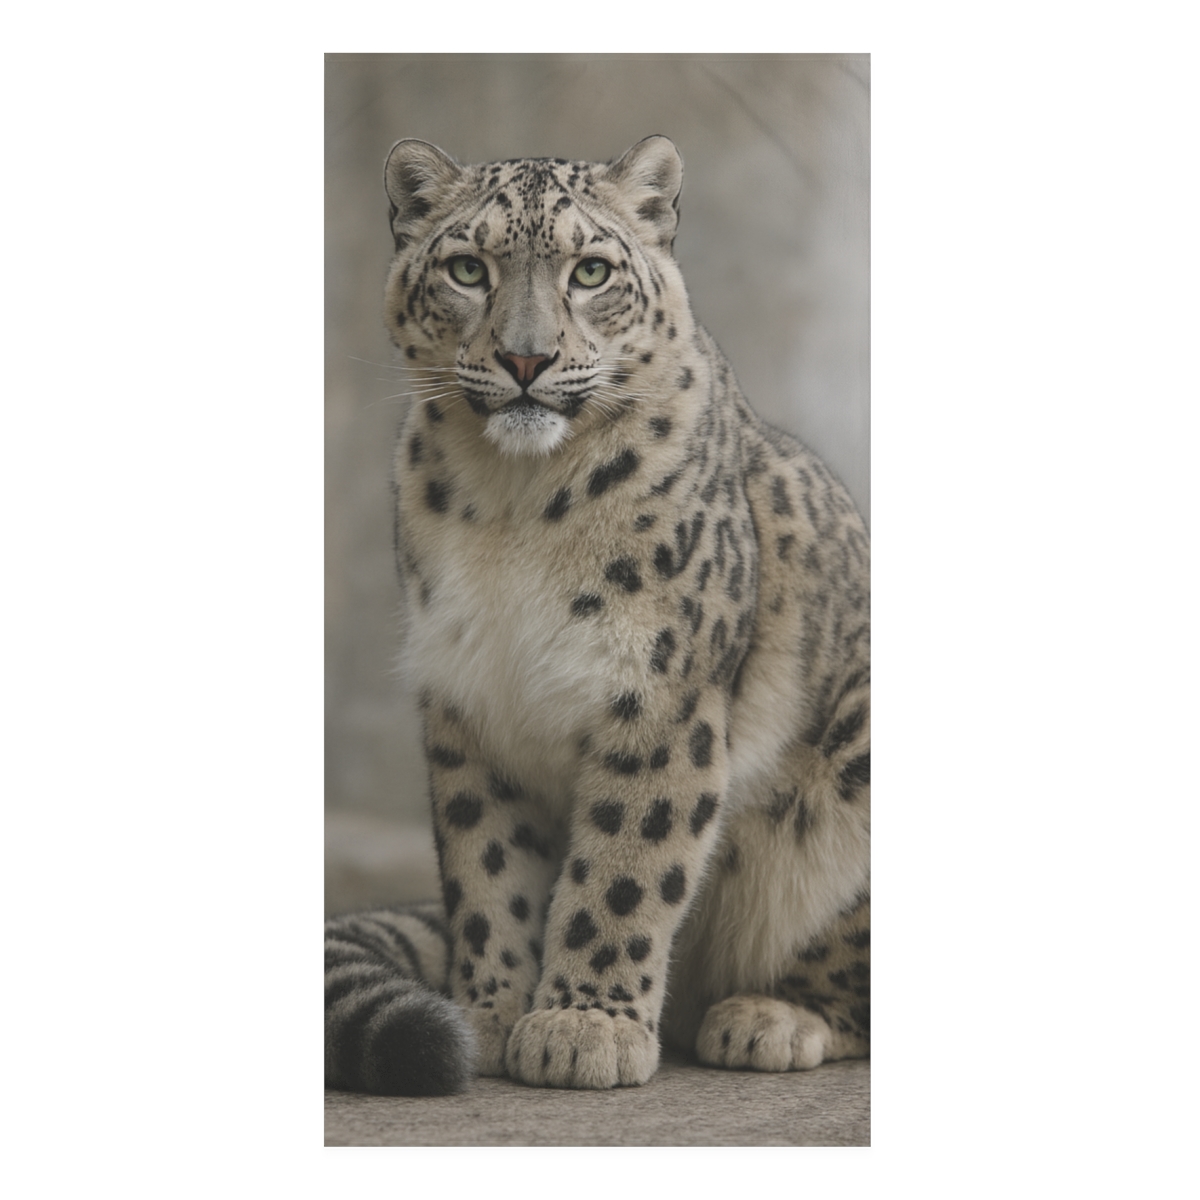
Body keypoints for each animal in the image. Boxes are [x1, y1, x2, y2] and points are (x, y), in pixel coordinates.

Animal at [324, 136, 870, 1094]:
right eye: (468, 268)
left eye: (590, 271)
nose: (526, 360)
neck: (513, 505)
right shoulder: (468, 700)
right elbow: (487, 866)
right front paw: (491, 1011)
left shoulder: (660, 695)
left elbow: (623, 865)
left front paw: (583, 1026)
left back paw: (767, 1018)